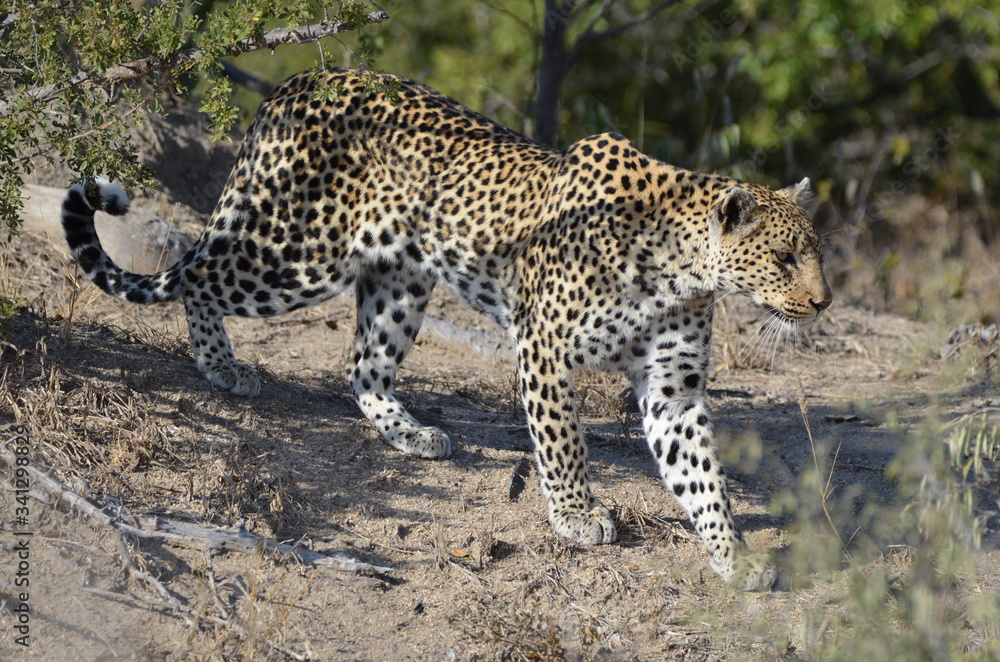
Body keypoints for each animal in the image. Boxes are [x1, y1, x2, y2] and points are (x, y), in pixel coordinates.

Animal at [62, 68, 831, 590]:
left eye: (816, 251)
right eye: (785, 257)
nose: (824, 303)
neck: (680, 271)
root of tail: (303, 79)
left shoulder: (672, 388)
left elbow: (701, 476)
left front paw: (733, 555)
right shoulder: (545, 349)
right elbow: (564, 444)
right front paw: (576, 515)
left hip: (398, 281)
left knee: (362, 367)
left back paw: (410, 434)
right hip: (297, 257)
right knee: (197, 273)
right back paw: (220, 365)